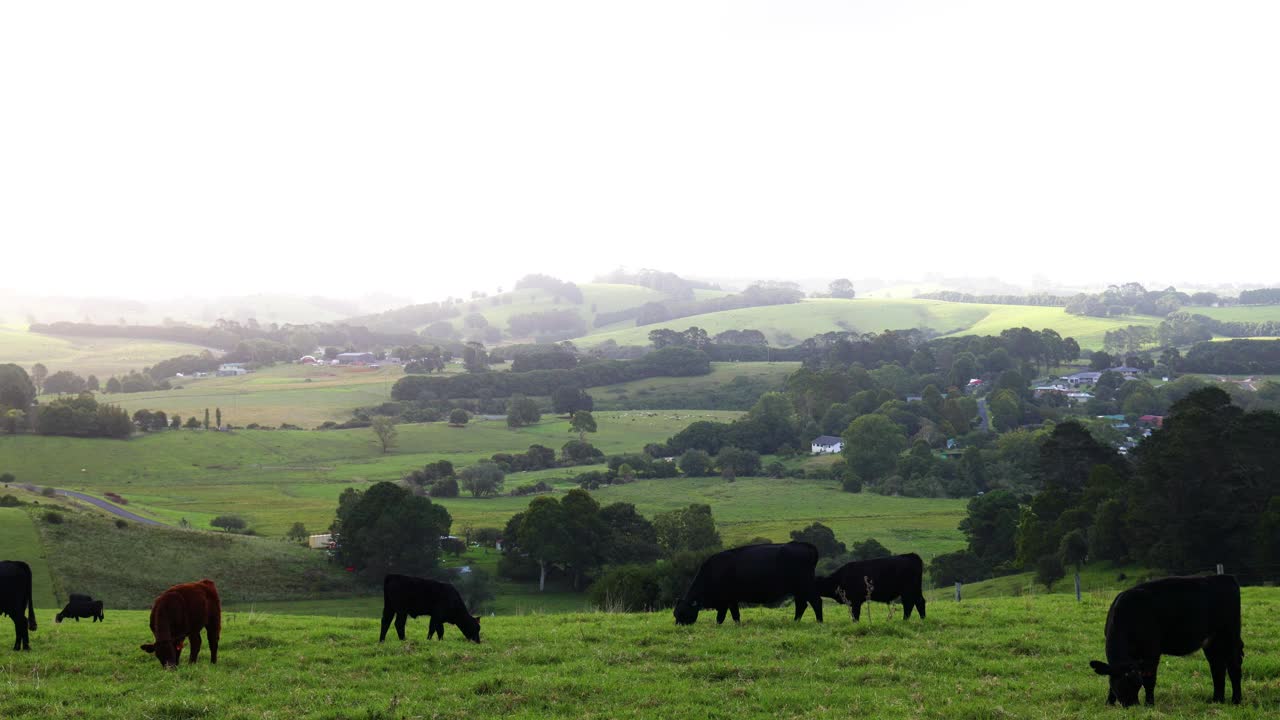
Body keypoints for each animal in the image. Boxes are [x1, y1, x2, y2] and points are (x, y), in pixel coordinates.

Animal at [670, 538, 819, 622]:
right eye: (675, 614)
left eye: (683, 614)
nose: (679, 626)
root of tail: (806, 546)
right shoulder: (727, 602)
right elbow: (727, 616)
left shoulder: (728, 600)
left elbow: (728, 616)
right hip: (798, 590)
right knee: (801, 605)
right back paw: (795, 621)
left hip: (805, 586)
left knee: (815, 602)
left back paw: (819, 622)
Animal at [1090, 573, 1239, 702]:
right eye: (1121, 685)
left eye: (1136, 684)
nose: (1132, 705)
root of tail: (1225, 577)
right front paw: (1109, 702)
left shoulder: (1152, 650)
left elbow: (1150, 680)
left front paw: (1149, 704)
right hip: (1212, 641)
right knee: (1217, 666)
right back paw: (1217, 700)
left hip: (1230, 635)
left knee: (1233, 665)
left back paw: (1236, 700)